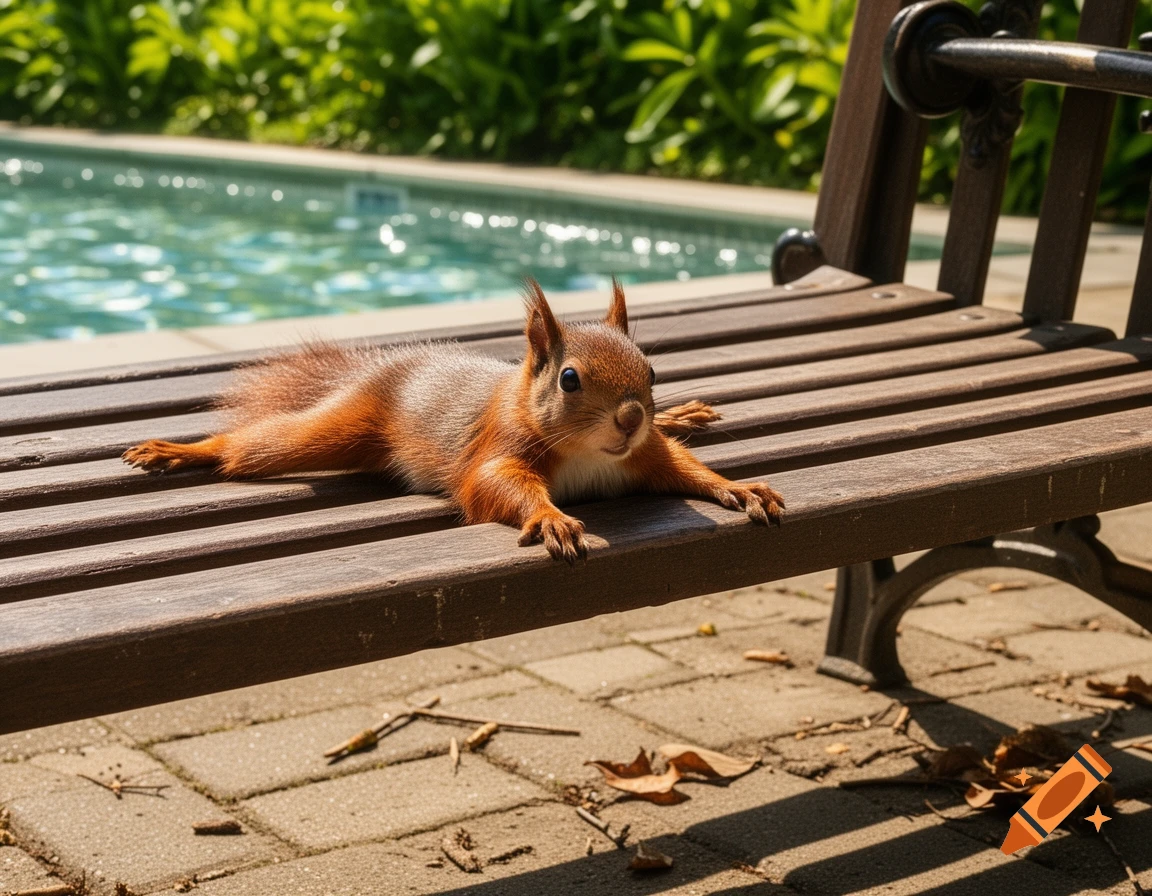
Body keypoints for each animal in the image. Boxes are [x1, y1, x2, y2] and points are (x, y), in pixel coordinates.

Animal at [123, 278, 784, 562]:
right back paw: (183, 451)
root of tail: (392, 364)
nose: (630, 418)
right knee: (263, 446)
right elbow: (492, 485)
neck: (594, 457)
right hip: (342, 427)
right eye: (569, 379)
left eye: (650, 370)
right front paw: (550, 519)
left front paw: (738, 486)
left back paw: (683, 415)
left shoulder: (645, 454)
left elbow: (684, 468)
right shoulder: (500, 447)